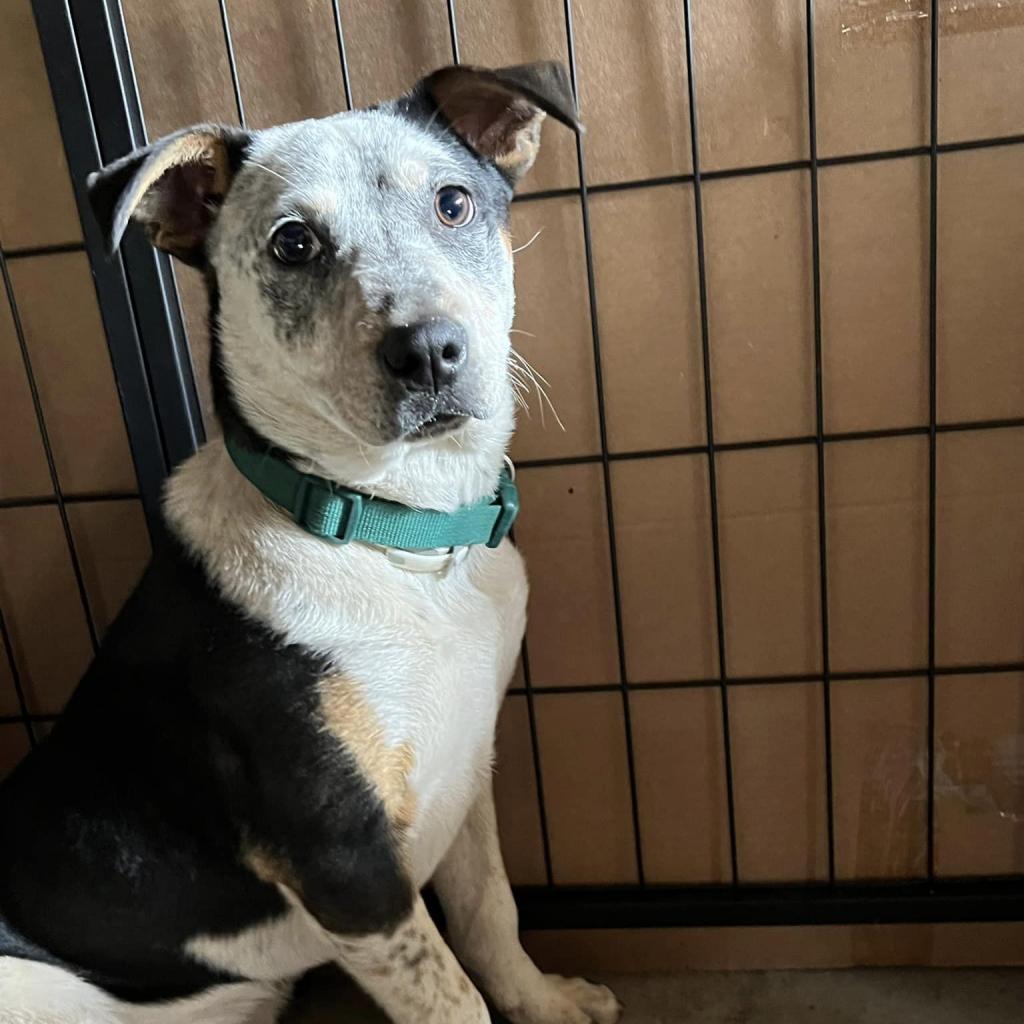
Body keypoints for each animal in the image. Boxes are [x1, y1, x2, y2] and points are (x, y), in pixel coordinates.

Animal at [0, 64, 618, 1024]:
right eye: (292, 244)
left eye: (453, 203)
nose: (430, 351)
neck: (396, 537)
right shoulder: (342, 861)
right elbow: (450, 995)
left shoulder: (467, 771)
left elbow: (491, 914)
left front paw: (546, 1002)